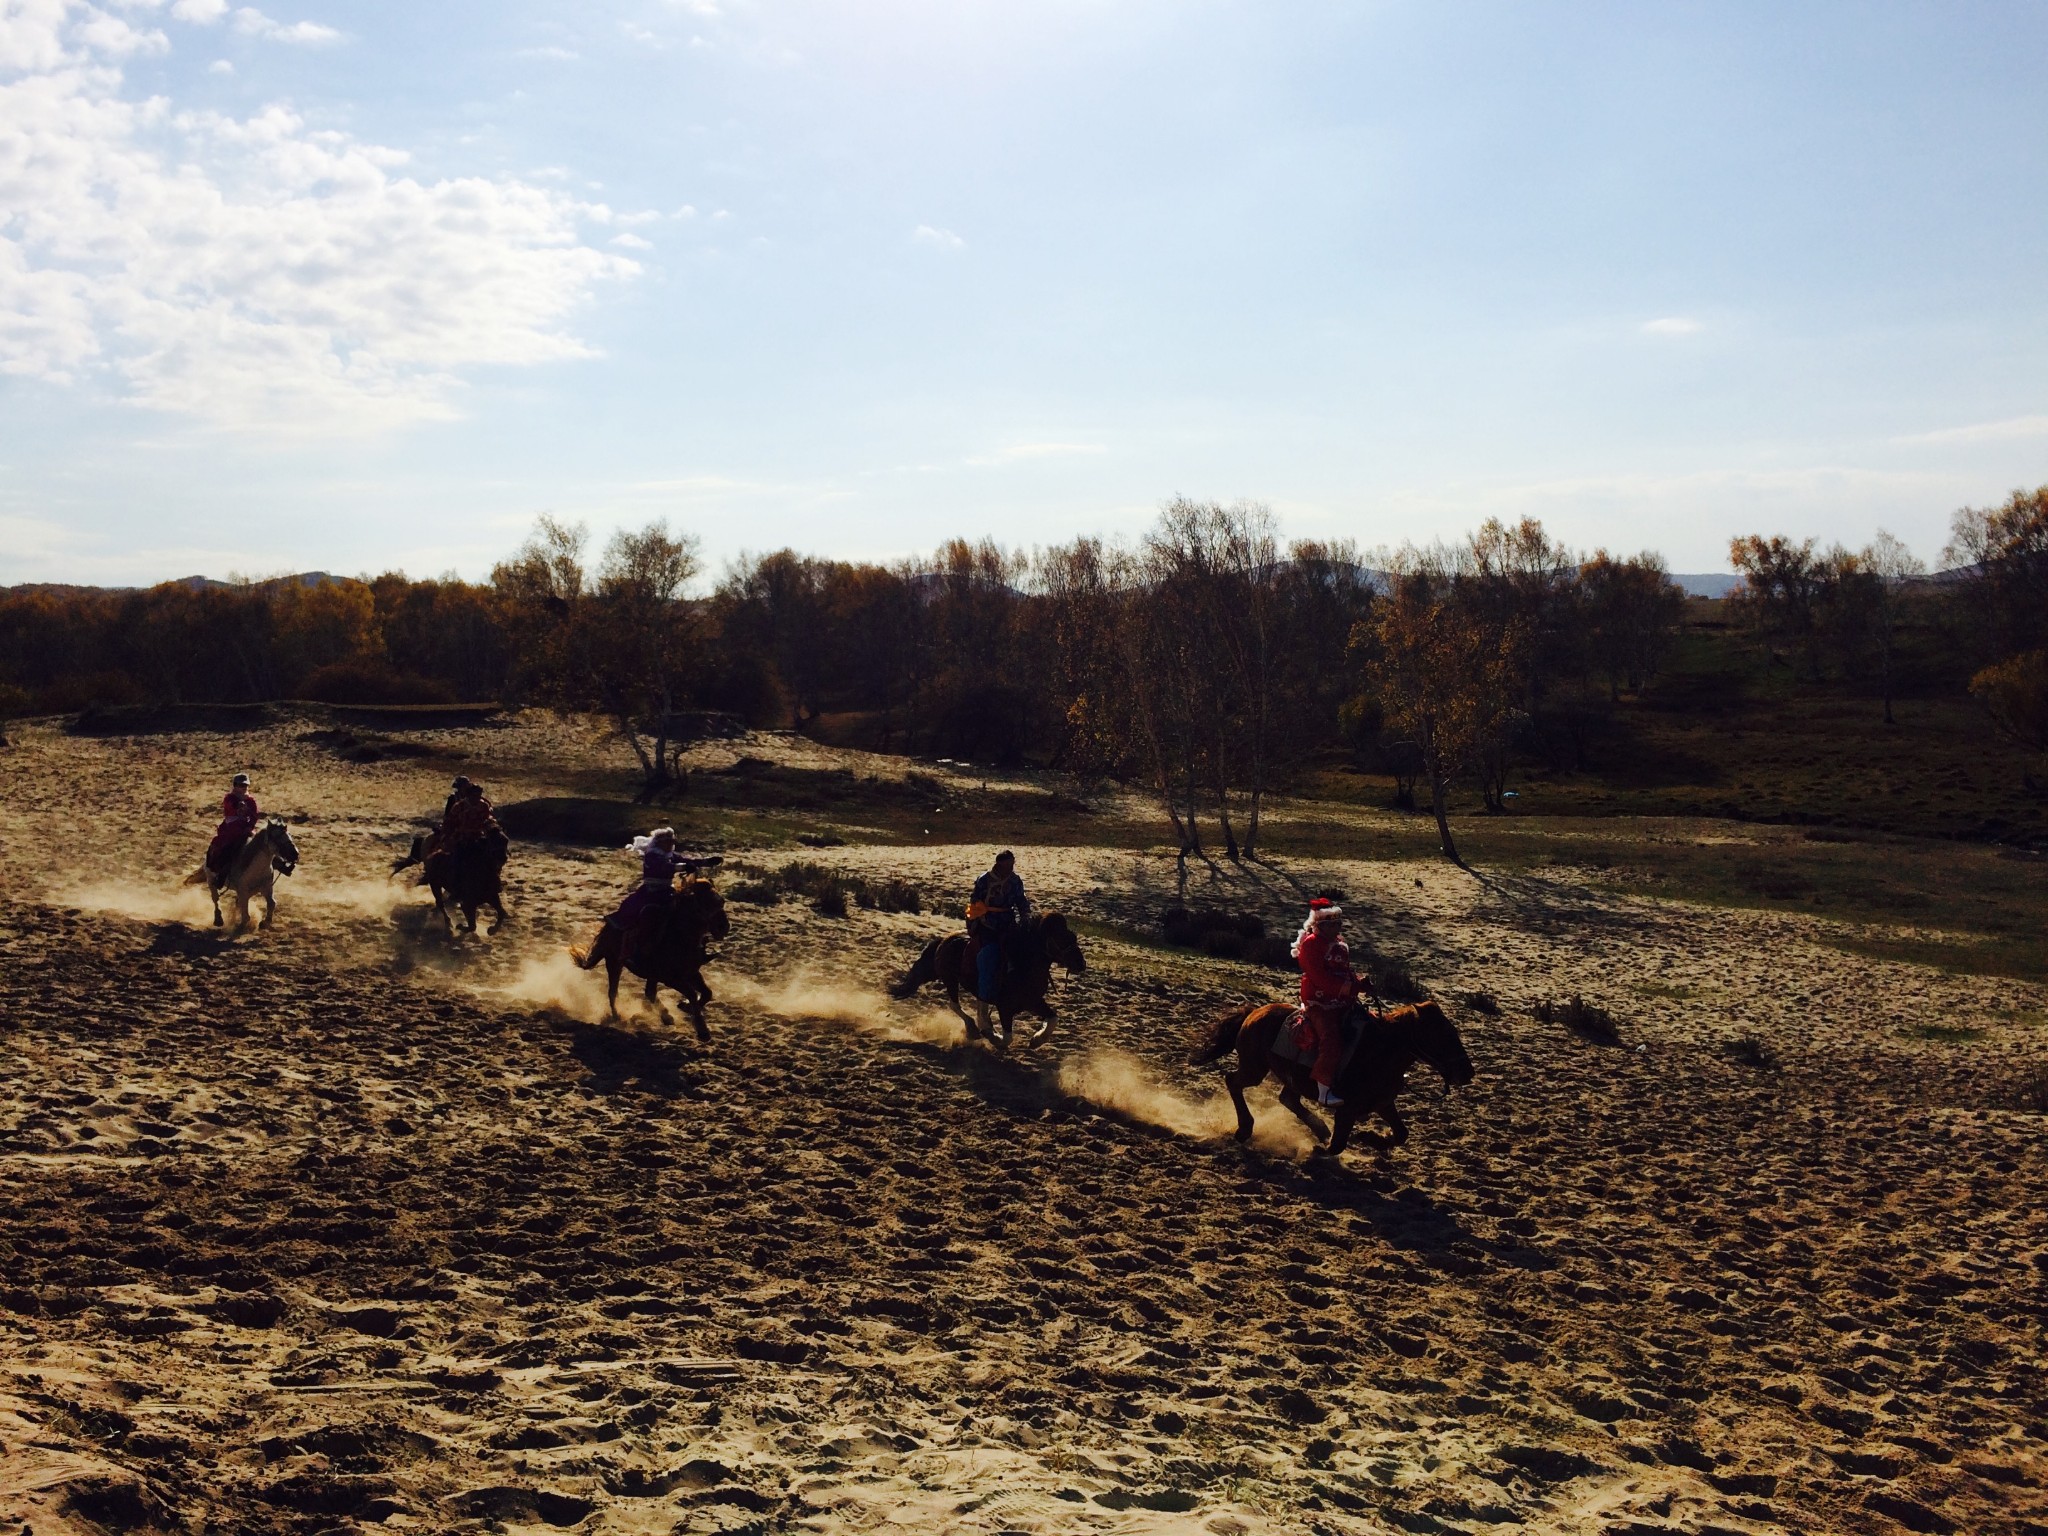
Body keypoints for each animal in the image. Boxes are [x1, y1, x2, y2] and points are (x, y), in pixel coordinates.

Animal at [573, 884, 733, 1040]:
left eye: (721, 902)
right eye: (705, 905)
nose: (724, 927)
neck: (680, 937)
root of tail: (608, 926)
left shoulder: (691, 972)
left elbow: (707, 992)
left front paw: (685, 1006)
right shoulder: (671, 979)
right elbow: (692, 994)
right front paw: (702, 1030)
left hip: (650, 974)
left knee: (649, 992)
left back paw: (666, 1017)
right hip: (614, 963)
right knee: (613, 992)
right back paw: (617, 1016)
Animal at [892, 913, 1097, 1056]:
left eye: (1073, 937)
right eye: (1061, 938)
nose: (1081, 963)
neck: (1023, 965)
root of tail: (944, 940)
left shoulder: (1034, 1001)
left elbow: (1053, 1019)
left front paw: (1036, 1040)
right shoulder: (1004, 1007)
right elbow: (1007, 1038)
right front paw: (992, 1036)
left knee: (978, 1005)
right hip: (949, 979)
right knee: (954, 1004)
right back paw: (973, 1029)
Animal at [1187, 1003, 1474, 1163]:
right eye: (1441, 1035)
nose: (1467, 1072)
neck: (1379, 1052)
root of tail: (1253, 1012)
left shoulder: (1383, 1104)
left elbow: (1402, 1134)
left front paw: (1370, 1138)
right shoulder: (1347, 1110)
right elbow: (1338, 1145)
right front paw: (1321, 1148)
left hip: (1288, 1076)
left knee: (1288, 1098)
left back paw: (1320, 1128)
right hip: (1254, 1069)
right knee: (1233, 1082)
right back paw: (1245, 1129)